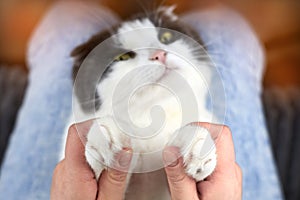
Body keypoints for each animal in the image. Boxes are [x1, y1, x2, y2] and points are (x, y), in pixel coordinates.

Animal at [69, 5, 217, 199]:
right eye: (123, 57)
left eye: (166, 37)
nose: (159, 54)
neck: (153, 113)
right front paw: (106, 135)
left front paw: (198, 147)